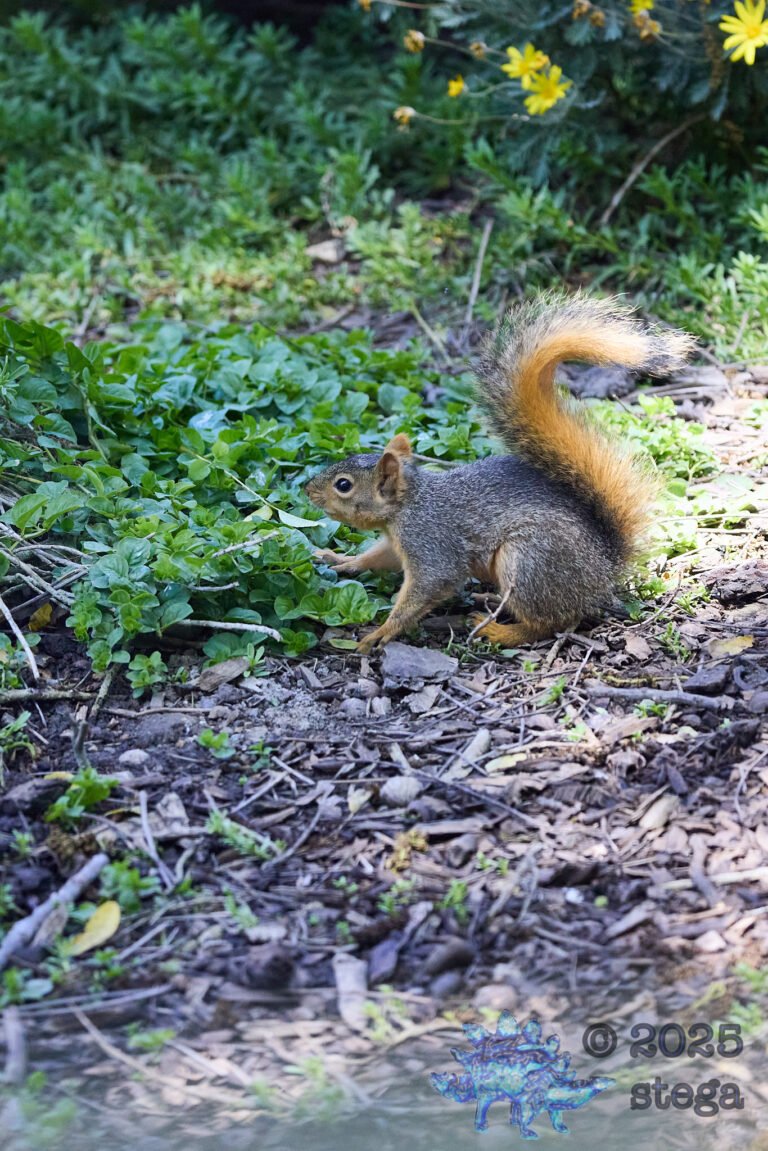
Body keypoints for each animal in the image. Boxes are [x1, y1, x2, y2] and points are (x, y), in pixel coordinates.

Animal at [304, 292, 693, 655]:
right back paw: (491, 603)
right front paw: (340, 561)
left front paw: (381, 632)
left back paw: (499, 631)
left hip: (528, 560)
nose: (308, 490)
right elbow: (376, 557)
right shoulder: (398, 543)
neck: (409, 504)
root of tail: (604, 567)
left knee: (550, 623)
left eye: (343, 485)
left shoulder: (430, 542)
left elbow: (428, 587)